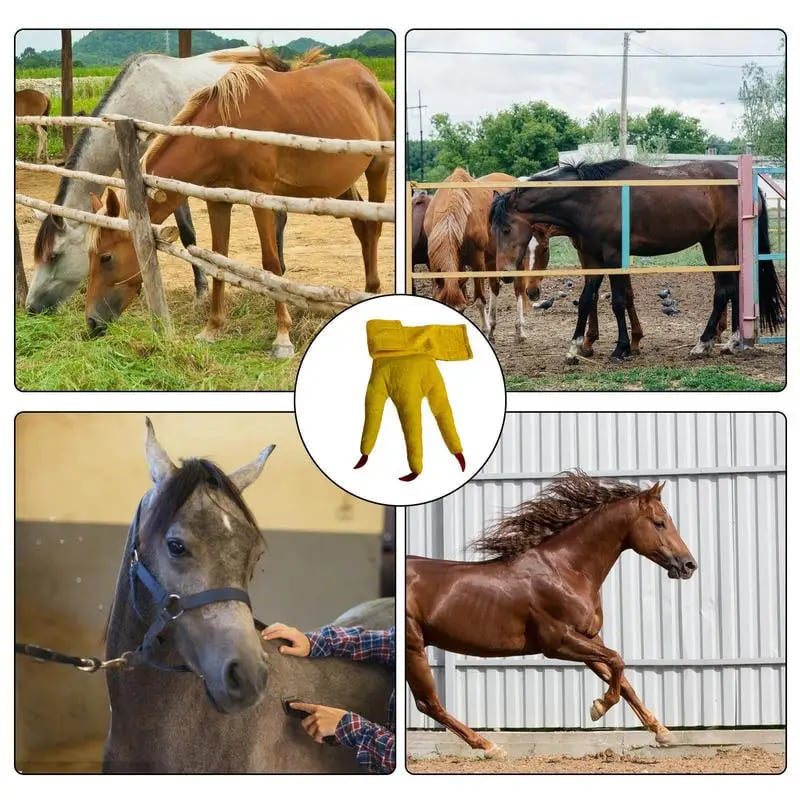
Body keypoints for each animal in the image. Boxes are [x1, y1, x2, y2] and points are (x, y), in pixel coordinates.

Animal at [86, 48, 393, 357]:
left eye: (106, 257)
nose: (91, 322)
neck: (222, 131)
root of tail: (368, 77)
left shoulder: (261, 197)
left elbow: (271, 263)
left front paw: (282, 336)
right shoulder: (217, 200)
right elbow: (217, 259)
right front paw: (212, 328)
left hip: (378, 168)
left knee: (373, 229)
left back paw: (372, 290)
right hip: (342, 184)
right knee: (362, 227)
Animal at [406, 470, 697, 759]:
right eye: (659, 523)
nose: (689, 565)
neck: (566, 570)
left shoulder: (589, 637)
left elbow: (621, 678)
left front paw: (662, 732)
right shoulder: (558, 642)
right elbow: (617, 661)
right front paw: (598, 707)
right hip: (414, 646)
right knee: (428, 703)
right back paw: (490, 747)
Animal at [490, 159, 783, 363]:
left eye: (506, 228)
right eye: (493, 230)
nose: (505, 274)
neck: (592, 198)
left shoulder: (613, 256)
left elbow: (619, 301)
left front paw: (621, 348)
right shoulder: (594, 258)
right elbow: (586, 300)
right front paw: (575, 348)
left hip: (723, 244)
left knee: (723, 290)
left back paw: (702, 344)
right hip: (711, 245)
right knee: (733, 288)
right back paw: (729, 342)